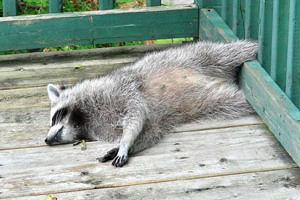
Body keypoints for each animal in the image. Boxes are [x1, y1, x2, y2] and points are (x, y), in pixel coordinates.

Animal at [45, 40, 258, 167]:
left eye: (54, 118)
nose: (46, 140)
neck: (83, 119)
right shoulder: (148, 123)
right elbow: (148, 133)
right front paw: (123, 146)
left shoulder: (121, 89)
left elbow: (136, 113)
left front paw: (125, 142)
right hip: (213, 101)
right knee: (237, 101)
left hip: (196, 55)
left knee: (230, 52)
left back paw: (252, 49)